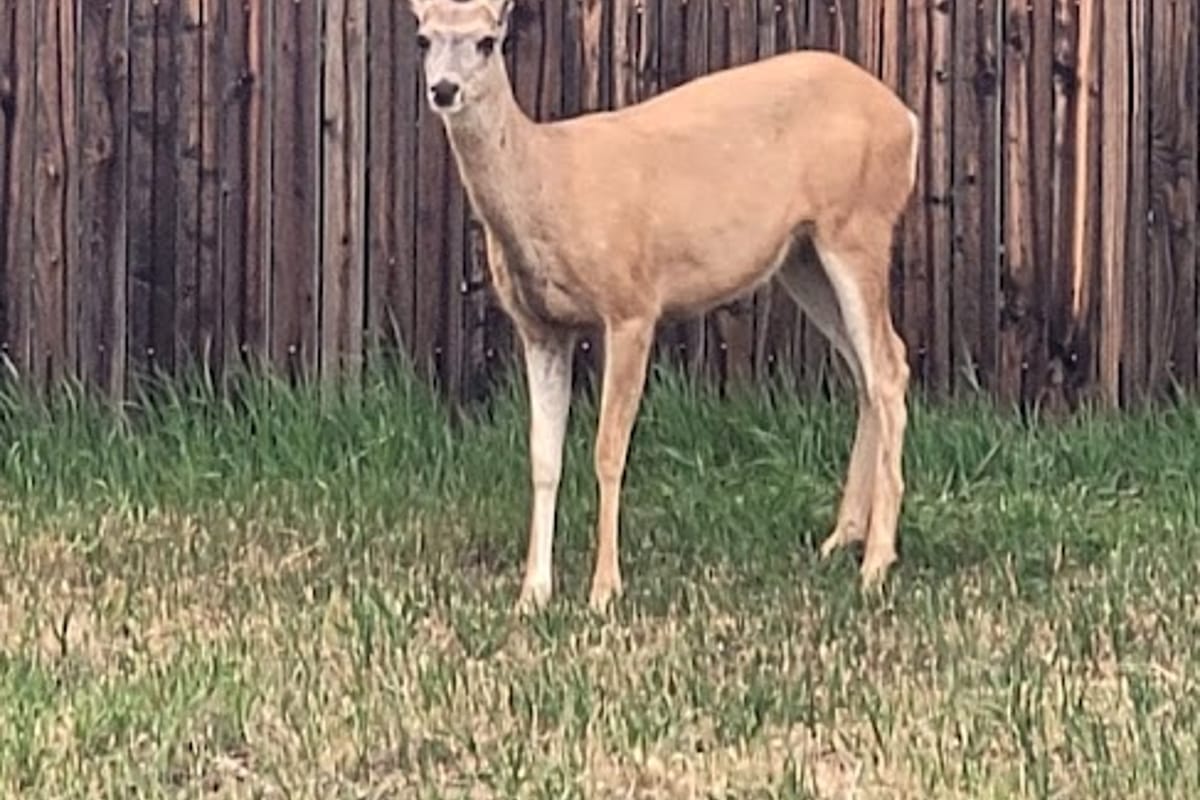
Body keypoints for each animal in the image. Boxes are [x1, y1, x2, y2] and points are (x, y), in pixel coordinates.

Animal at [408, 0, 920, 613]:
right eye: (422, 38)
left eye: (487, 41)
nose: (444, 89)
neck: (550, 184)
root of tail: (907, 118)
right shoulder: (540, 325)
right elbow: (542, 457)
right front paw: (533, 593)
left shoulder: (632, 303)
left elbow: (608, 450)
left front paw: (604, 590)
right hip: (802, 255)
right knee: (866, 370)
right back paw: (843, 537)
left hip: (860, 223)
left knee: (889, 367)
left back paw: (877, 562)